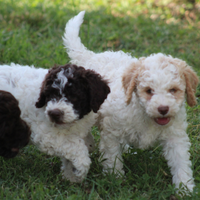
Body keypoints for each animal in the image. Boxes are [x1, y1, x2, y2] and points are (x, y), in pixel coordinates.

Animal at [63, 10, 199, 192]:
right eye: (148, 91)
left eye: (173, 90)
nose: (163, 109)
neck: (145, 115)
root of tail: (91, 56)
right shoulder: (111, 132)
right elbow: (112, 157)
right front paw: (115, 179)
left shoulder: (175, 135)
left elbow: (180, 161)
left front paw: (184, 188)